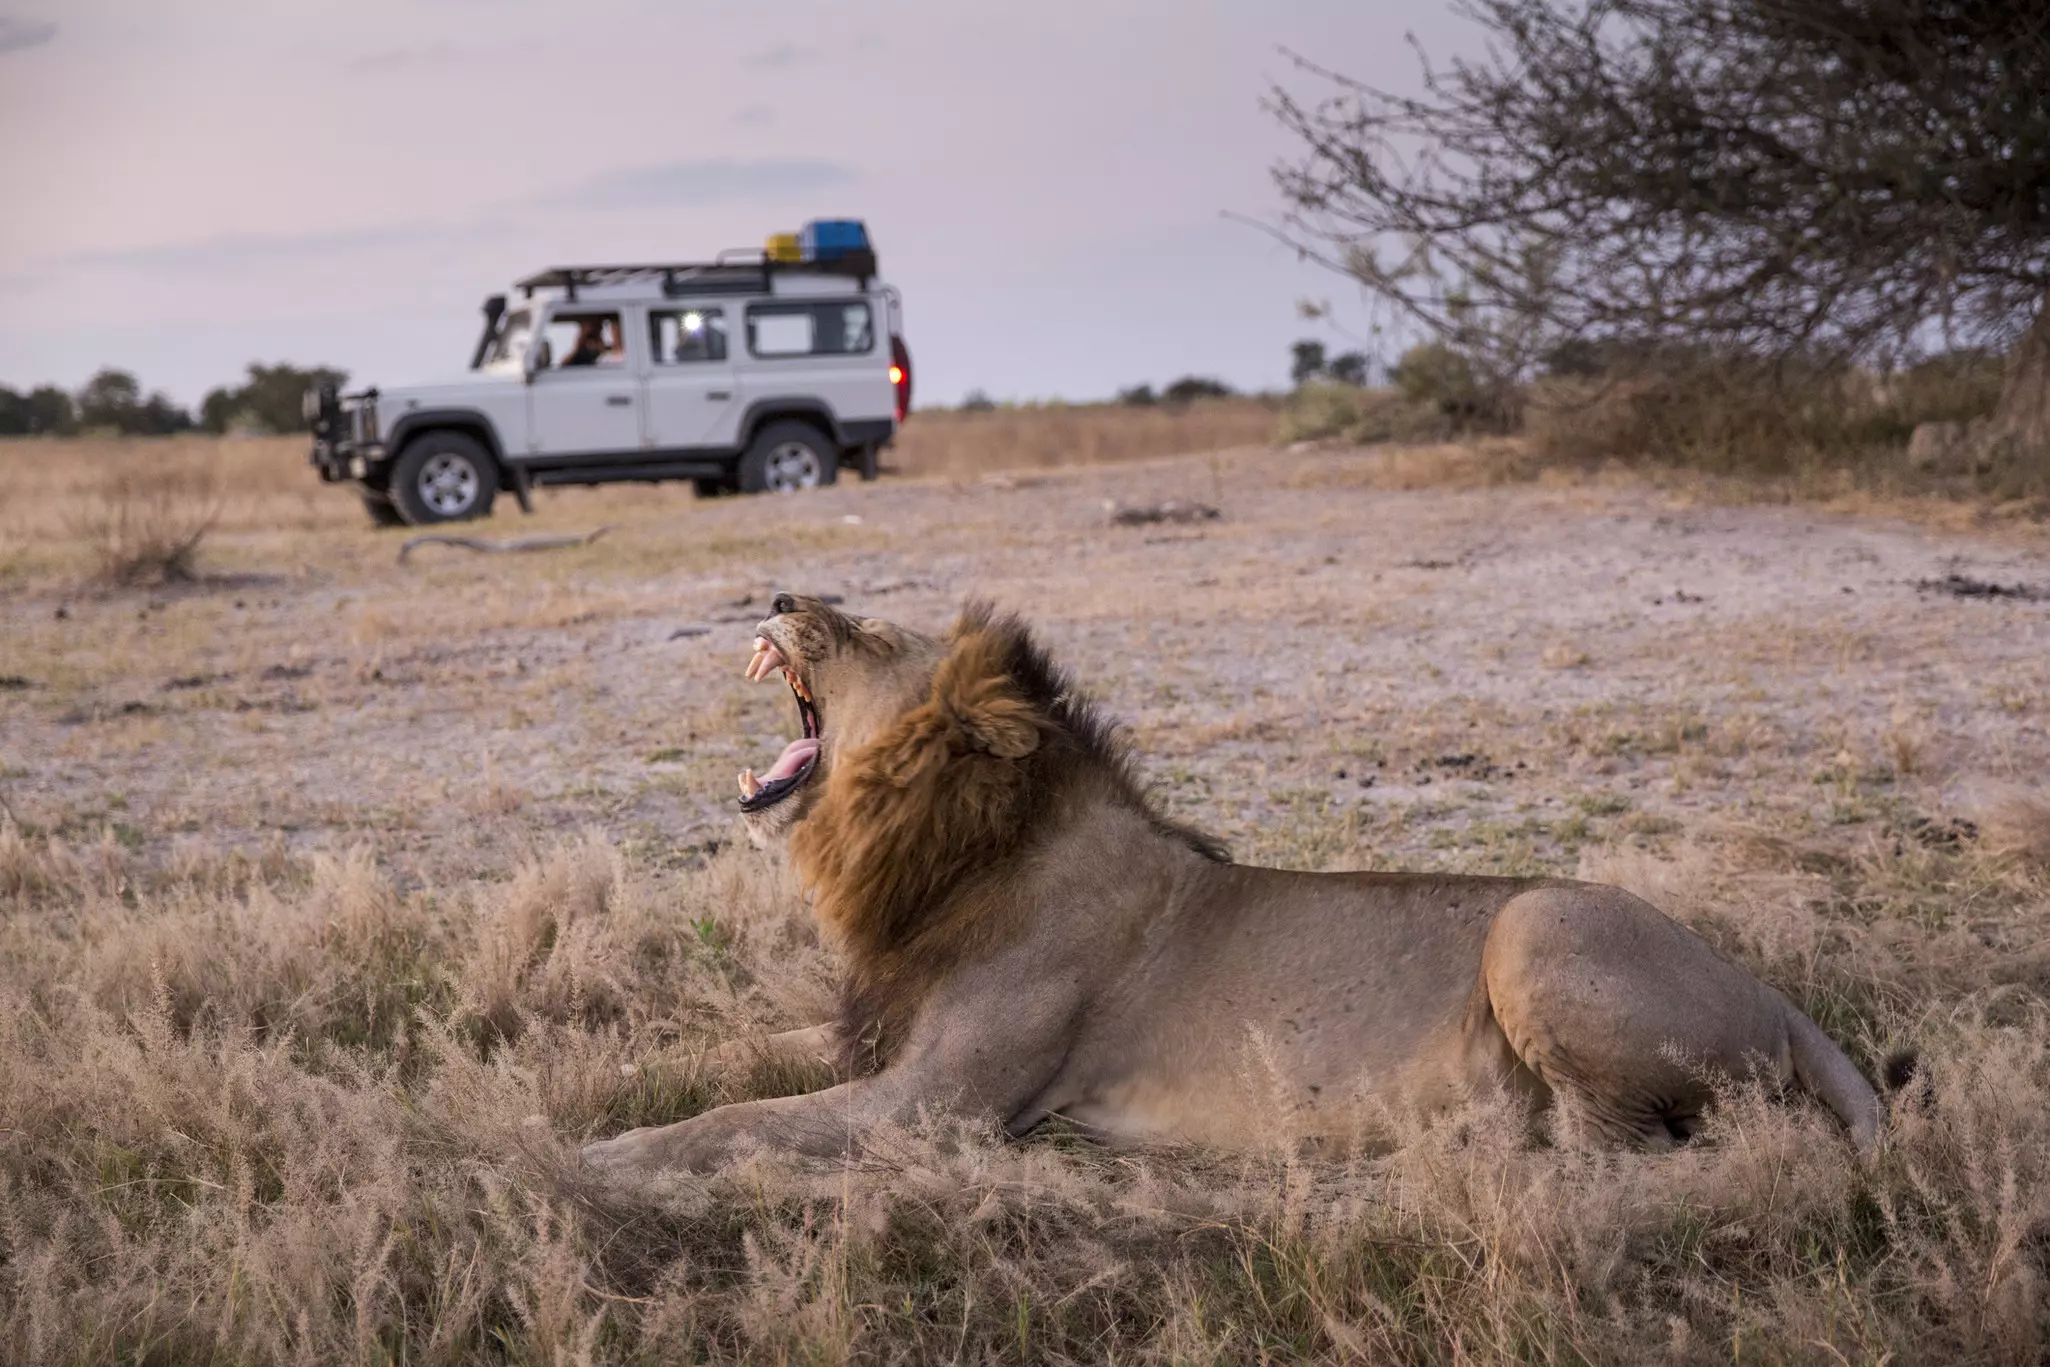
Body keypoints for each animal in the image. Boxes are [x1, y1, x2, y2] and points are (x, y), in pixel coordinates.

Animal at [581, 594, 1887, 1175]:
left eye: (863, 633)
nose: (779, 596)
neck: (940, 852)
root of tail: (1770, 993)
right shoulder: (872, 1035)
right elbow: (719, 1061)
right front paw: (582, 1104)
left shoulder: (938, 1102)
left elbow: (741, 1118)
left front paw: (605, 1157)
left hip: (1534, 923)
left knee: (1617, 1145)